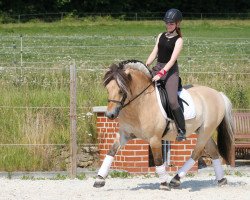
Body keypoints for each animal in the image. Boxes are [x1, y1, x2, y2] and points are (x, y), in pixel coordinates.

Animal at [93, 59, 234, 191]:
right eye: (108, 89)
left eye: (121, 91)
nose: (110, 115)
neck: (140, 103)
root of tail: (218, 94)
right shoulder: (125, 134)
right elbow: (111, 151)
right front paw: (99, 179)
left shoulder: (154, 139)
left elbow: (158, 160)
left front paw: (164, 184)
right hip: (203, 130)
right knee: (213, 150)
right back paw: (221, 180)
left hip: (206, 130)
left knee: (196, 153)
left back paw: (175, 180)